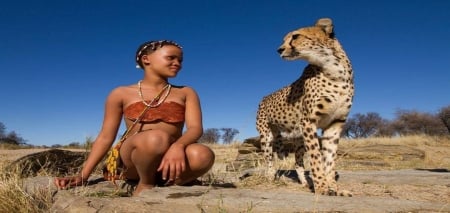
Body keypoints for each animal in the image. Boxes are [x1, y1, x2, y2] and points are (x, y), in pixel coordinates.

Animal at [256, 17, 356, 196]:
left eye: (295, 36)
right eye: (284, 39)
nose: (279, 49)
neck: (334, 70)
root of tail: (264, 97)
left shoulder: (335, 123)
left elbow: (329, 159)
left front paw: (334, 188)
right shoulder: (309, 121)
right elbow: (316, 157)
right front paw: (322, 187)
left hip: (299, 138)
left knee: (298, 161)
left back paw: (303, 182)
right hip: (266, 135)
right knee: (269, 159)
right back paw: (270, 177)